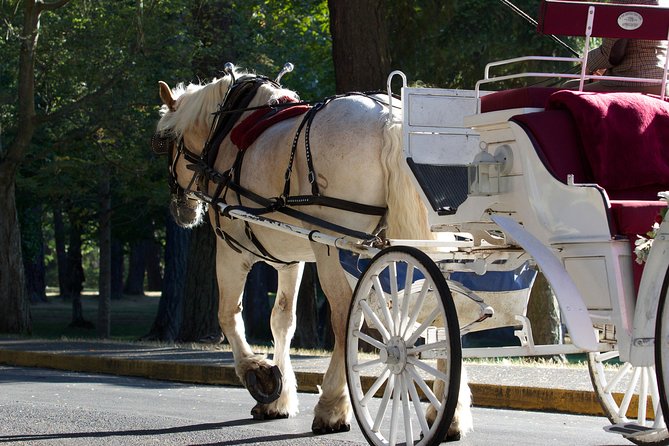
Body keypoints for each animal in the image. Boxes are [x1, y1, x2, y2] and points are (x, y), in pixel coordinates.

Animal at [154, 69, 472, 440]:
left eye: (164, 141)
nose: (180, 208)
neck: (228, 132)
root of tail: (390, 119)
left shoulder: (232, 251)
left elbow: (228, 315)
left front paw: (259, 373)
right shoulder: (290, 259)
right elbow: (282, 321)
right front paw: (279, 400)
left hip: (335, 248)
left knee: (347, 317)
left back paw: (333, 405)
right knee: (440, 311)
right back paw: (448, 413)